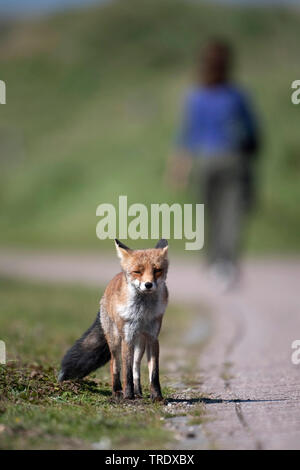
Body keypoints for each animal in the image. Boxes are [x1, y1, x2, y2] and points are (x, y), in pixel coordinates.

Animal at [59, 239, 169, 400]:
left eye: (157, 270)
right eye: (137, 271)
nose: (148, 284)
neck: (142, 313)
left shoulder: (153, 338)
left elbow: (153, 372)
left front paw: (157, 397)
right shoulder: (127, 338)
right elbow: (126, 372)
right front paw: (128, 396)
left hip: (140, 344)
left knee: (136, 367)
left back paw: (138, 392)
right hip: (115, 340)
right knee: (115, 365)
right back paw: (117, 391)